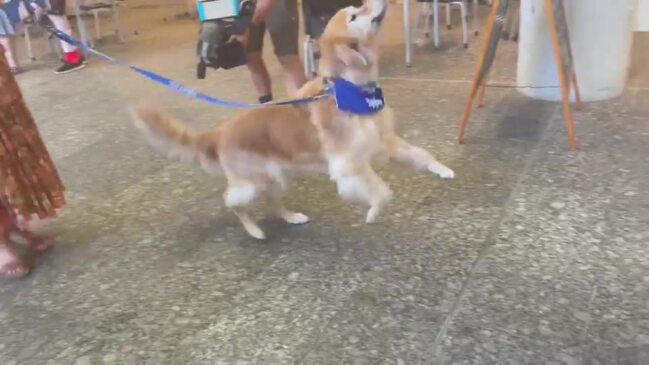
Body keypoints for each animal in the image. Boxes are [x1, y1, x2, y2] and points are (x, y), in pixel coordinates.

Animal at [130, 0, 456, 239]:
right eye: (354, 14)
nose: (378, 0)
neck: (352, 87)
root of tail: (220, 132)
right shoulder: (349, 165)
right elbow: (382, 192)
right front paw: (373, 213)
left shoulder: (385, 142)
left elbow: (422, 155)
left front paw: (444, 170)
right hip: (254, 181)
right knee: (233, 202)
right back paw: (254, 230)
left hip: (277, 175)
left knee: (273, 203)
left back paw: (292, 217)